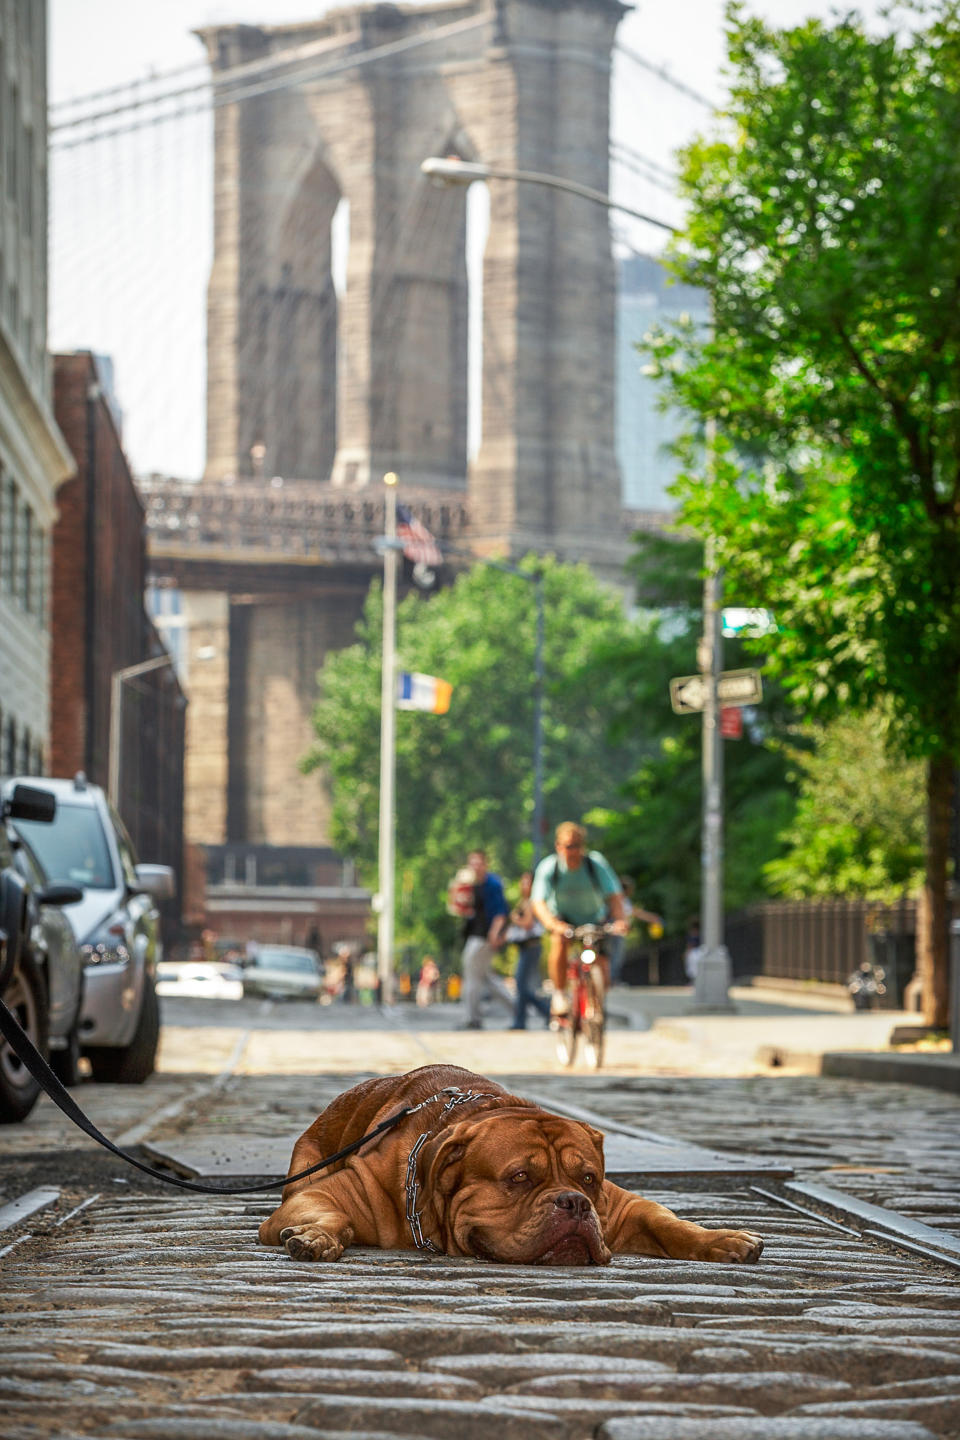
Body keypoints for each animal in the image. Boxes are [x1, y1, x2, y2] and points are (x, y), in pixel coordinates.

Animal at [259, 1065, 759, 1267]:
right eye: (519, 1178)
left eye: (588, 1179)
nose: (576, 1203)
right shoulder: (321, 1194)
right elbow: (333, 1215)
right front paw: (316, 1237)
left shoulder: (620, 1206)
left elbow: (666, 1221)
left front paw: (722, 1239)